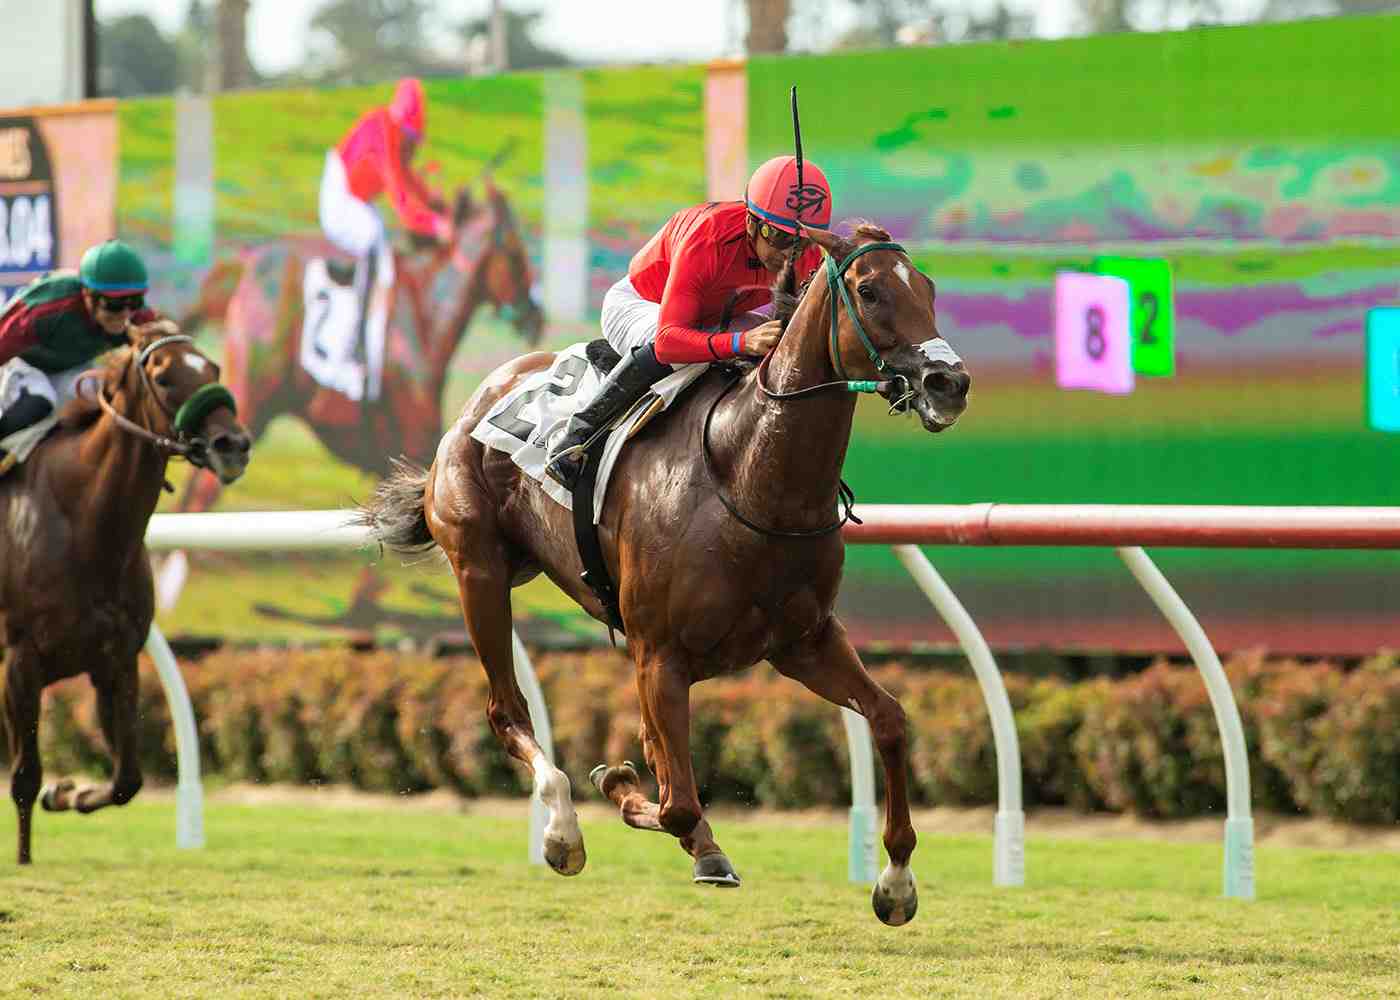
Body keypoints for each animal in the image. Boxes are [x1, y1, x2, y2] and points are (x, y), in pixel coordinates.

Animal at [1, 319, 251, 864]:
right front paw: (25, 857)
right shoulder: (20, 659)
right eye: (163, 376)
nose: (233, 445)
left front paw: (68, 792)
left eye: (213, 368)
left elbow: (126, 779)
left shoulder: (116, 659)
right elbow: (25, 776)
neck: (86, 522)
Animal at [175, 178, 542, 515]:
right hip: (250, 402)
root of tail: (246, 263)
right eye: (514, 251)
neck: (426, 317)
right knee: (198, 496)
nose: (534, 314)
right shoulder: (413, 449)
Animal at [358, 222, 970, 925]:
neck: (751, 474)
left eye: (928, 287)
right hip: (479, 572)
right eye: (869, 291)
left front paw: (895, 880)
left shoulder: (805, 642)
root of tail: (487, 390)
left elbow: (890, 719)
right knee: (507, 712)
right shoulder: (659, 653)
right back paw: (563, 828)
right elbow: (673, 799)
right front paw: (617, 786)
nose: (949, 383)